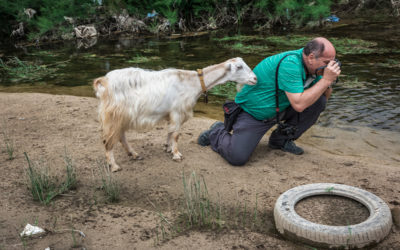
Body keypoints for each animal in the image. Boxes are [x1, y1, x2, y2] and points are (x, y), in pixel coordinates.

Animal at [93, 57, 256, 173]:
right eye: (239, 67)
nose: (255, 79)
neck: (192, 82)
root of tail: (103, 81)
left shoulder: (171, 113)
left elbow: (170, 131)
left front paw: (168, 147)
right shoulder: (178, 111)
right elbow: (176, 134)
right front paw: (177, 155)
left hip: (122, 116)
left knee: (120, 135)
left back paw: (133, 154)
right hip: (114, 115)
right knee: (108, 140)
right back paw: (114, 165)